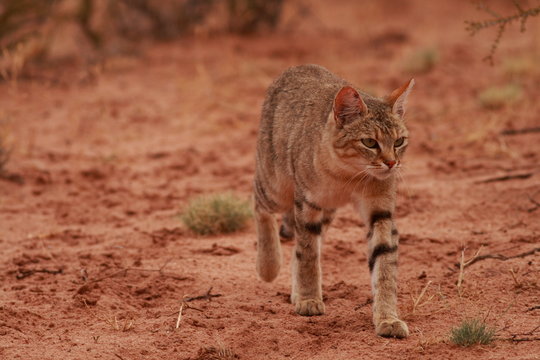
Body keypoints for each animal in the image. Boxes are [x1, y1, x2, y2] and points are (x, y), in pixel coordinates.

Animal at [253, 64, 414, 338]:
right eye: (369, 142)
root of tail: (298, 66)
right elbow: (308, 255)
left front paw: (388, 318)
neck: (349, 176)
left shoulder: (380, 212)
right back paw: (269, 265)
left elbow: (384, 266)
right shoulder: (308, 204)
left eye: (399, 141)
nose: (392, 163)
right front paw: (308, 299)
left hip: (326, 211)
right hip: (276, 185)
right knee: (258, 200)